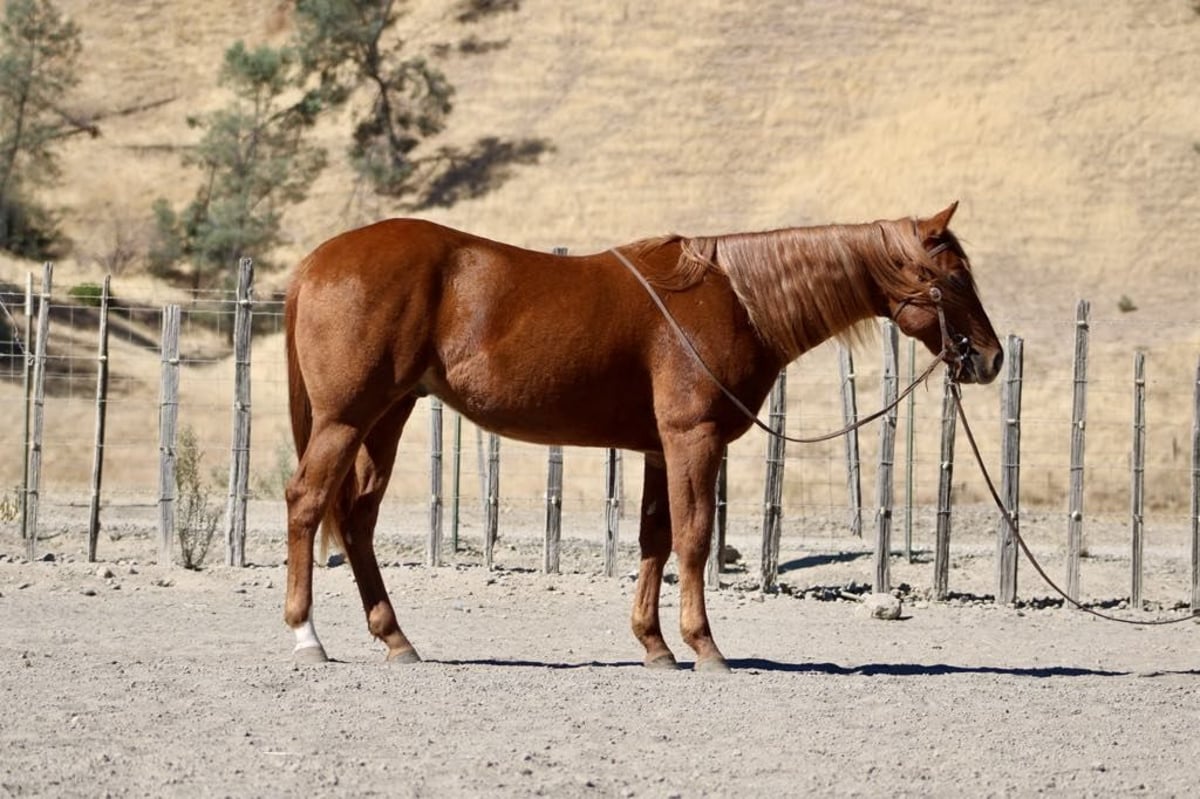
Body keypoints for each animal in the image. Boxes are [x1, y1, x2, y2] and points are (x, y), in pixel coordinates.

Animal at [282, 202, 1002, 671]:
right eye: (953, 276)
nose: (991, 359)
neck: (737, 299)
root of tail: (316, 261)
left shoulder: (661, 447)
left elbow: (655, 538)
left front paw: (655, 645)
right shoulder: (694, 438)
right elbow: (693, 539)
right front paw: (705, 646)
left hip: (387, 417)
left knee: (357, 519)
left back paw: (395, 639)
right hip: (347, 419)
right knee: (308, 504)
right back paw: (307, 637)